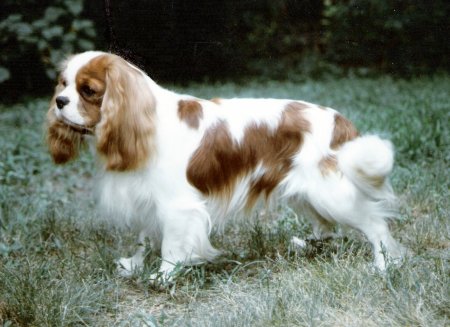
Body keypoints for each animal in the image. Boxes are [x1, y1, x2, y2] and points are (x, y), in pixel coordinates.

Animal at [48, 51, 404, 280]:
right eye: (63, 84)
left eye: (89, 91)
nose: (59, 102)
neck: (142, 121)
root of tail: (340, 120)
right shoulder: (147, 199)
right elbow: (144, 237)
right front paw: (134, 265)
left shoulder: (177, 206)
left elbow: (171, 245)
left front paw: (163, 276)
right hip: (304, 192)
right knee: (327, 225)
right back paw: (308, 245)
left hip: (330, 192)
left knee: (375, 224)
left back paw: (385, 265)